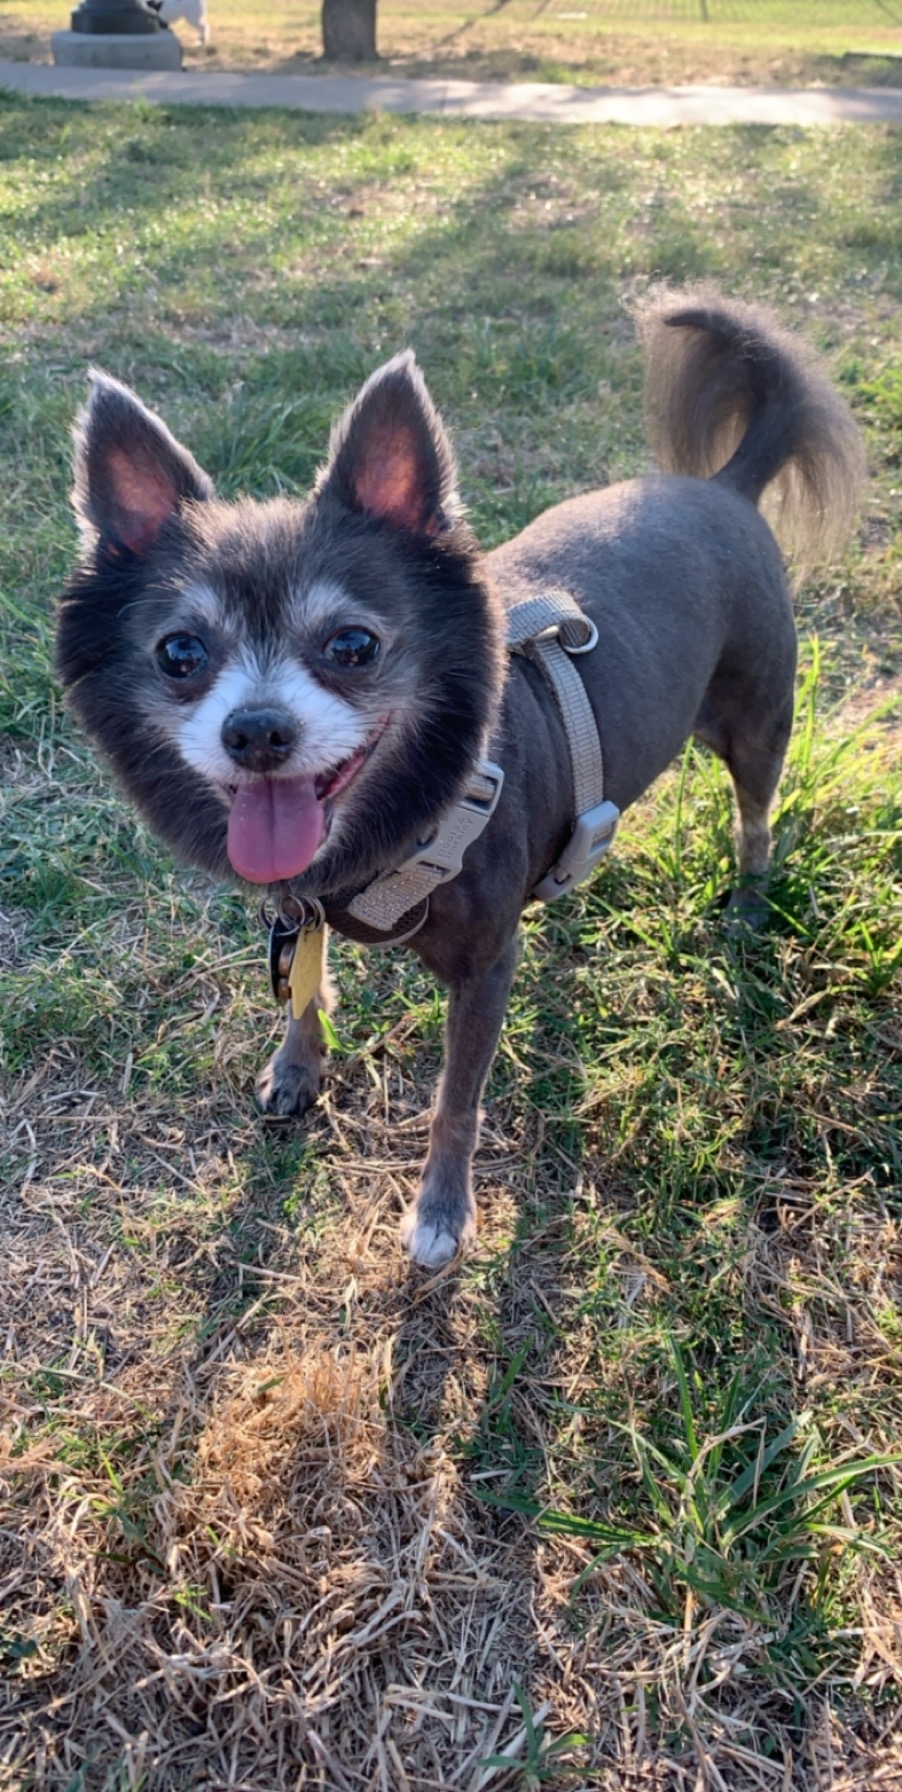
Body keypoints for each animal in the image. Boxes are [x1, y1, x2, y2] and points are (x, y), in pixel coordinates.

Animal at [56, 286, 867, 1268]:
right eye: (179, 654)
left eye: (353, 646)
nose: (254, 730)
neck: (401, 818)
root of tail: (725, 485)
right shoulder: (302, 910)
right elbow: (307, 990)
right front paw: (299, 1066)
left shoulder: (483, 972)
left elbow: (456, 1100)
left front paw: (442, 1214)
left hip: (756, 722)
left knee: (756, 817)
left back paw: (748, 904)